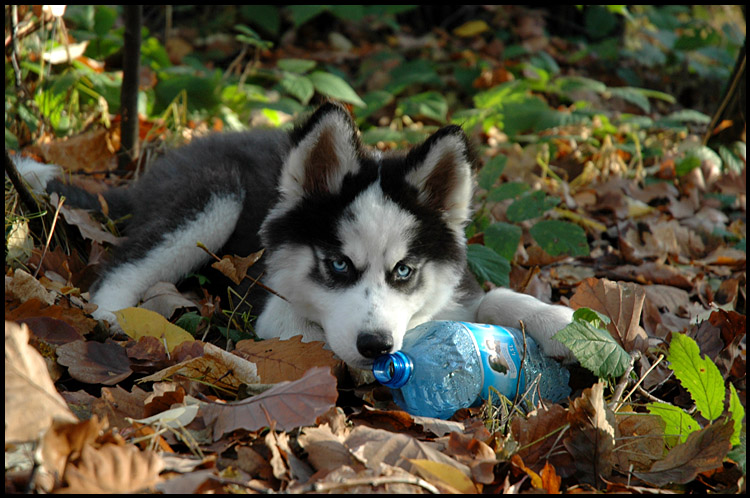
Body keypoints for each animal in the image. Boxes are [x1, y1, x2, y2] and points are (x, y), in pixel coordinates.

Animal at [19, 104, 576, 366]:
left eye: (404, 271)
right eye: (338, 265)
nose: (377, 347)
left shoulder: (450, 287)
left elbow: (495, 299)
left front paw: (560, 324)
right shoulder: (274, 313)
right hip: (214, 198)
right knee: (119, 269)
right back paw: (116, 320)